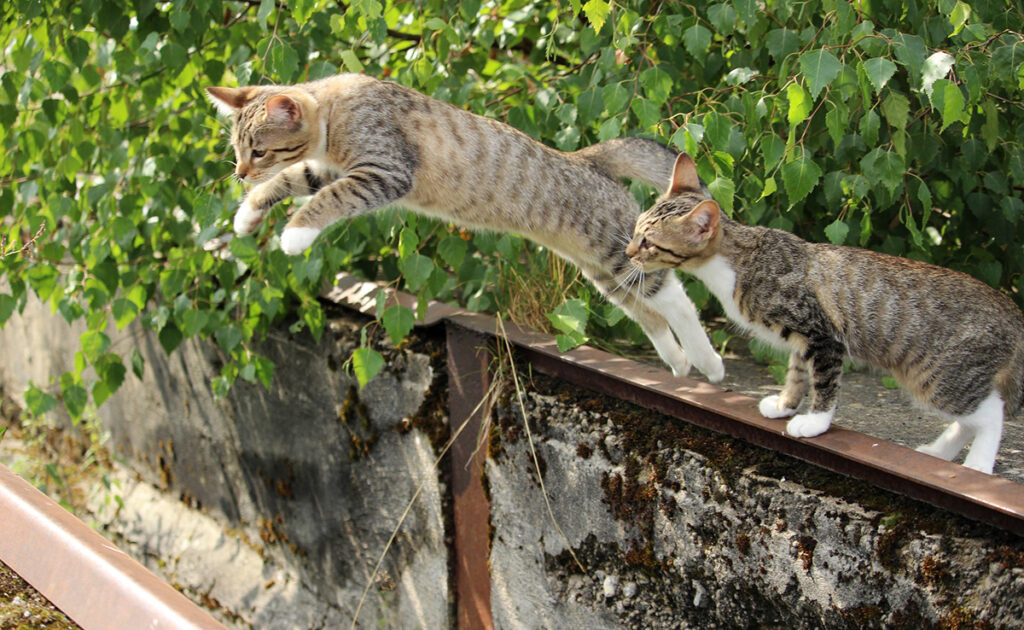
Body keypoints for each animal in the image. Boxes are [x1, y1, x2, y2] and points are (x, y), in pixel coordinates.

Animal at [203, 72, 724, 379]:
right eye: (237, 150)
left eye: (259, 150)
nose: (240, 173)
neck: (335, 109)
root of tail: (588, 158)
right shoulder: (330, 168)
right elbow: (294, 179)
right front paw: (248, 212)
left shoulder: (382, 172)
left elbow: (326, 199)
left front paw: (294, 233)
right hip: (605, 273)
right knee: (650, 313)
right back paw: (679, 361)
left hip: (618, 250)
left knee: (676, 298)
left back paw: (709, 362)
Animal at [622, 152, 1024, 475]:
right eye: (636, 228)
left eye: (649, 242)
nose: (627, 253)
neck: (739, 261)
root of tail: (1011, 309)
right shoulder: (802, 341)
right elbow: (798, 374)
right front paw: (784, 404)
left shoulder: (821, 334)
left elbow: (825, 383)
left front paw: (814, 422)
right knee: (971, 418)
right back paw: (939, 452)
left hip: (938, 377)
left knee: (992, 413)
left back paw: (977, 465)